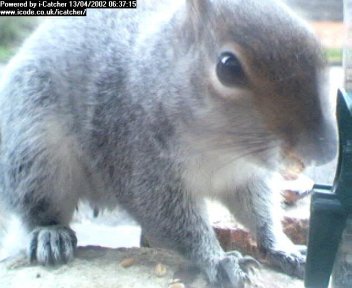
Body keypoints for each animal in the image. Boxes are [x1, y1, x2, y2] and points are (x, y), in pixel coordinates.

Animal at [0, 0, 338, 286]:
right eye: (227, 67)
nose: (324, 150)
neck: (221, 149)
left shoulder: (244, 177)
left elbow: (259, 210)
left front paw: (282, 246)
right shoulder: (139, 160)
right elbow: (175, 222)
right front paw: (218, 260)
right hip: (35, 152)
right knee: (36, 209)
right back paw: (50, 235)